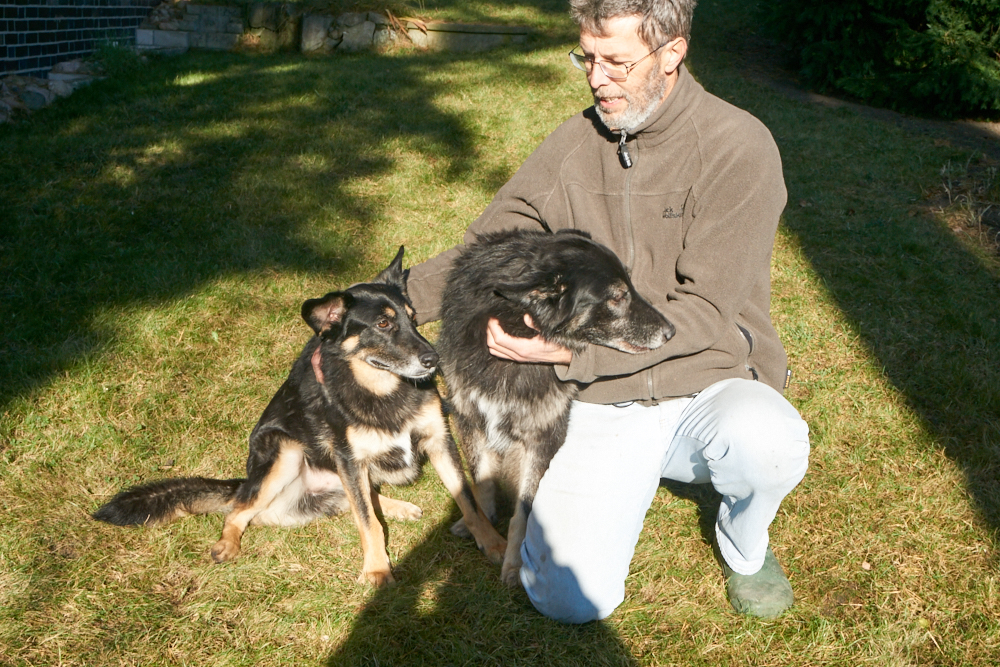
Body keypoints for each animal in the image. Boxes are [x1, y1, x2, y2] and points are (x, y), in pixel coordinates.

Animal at [93, 248, 506, 587]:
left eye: (414, 318)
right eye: (383, 324)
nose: (434, 360)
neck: (382, 389)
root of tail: (245, 479)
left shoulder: (439, 441)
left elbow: (469, 502)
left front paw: (495, 545)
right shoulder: (349, 457)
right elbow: (367, 523)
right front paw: (376, 569)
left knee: (361, 498)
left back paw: (399, 507)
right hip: (286, 452)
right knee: (239, 512)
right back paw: (227, 543)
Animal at [438, 228, 675, 585]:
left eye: (629, 289)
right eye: (619, 297)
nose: (671, 331)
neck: (512, 318)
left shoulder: (543, 435)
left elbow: (523, 510)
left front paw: (513, 562)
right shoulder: (470, 417)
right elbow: (482, 484)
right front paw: (482, 527)